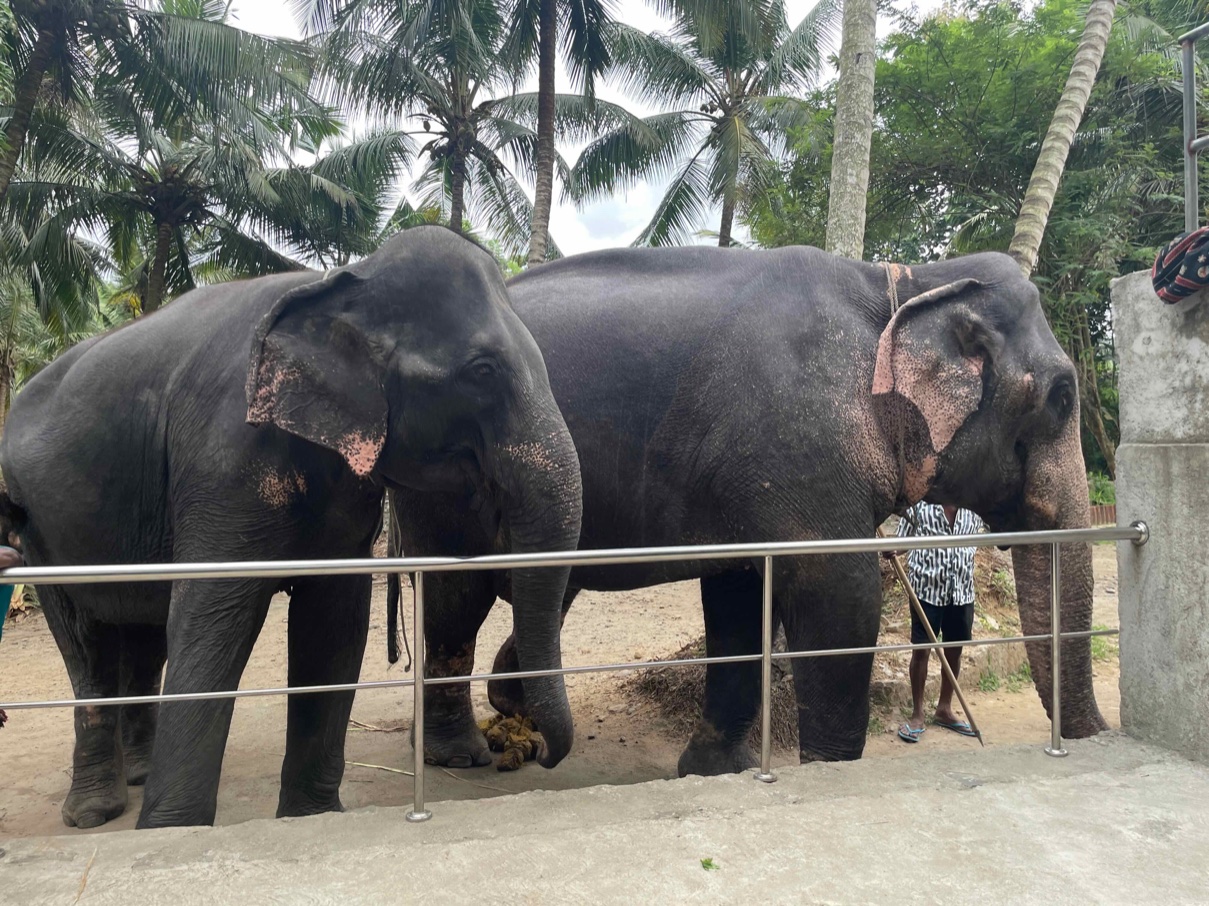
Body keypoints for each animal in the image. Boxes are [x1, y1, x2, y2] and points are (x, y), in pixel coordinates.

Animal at [0, 226, 582, 829]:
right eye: (482, 371)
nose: (540, 752)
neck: (341, 283)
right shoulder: (222, 460)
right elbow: (212, 618)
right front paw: (170, 831)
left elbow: (334, 620)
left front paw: (312, 817)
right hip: (36, 527)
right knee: (87, 642)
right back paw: (94, 813)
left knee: (142, 635)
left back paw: (135, 774)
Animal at [389, 245, 1105, 776]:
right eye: (1063, 397)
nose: (1100, 736)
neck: (903, 280)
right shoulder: (801, 450)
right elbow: (841, 596)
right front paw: (828, 771)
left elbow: (738, 597)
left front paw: (712, 771)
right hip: (441, 474)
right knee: (456, 593)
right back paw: (461, 755)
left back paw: (514, 718)